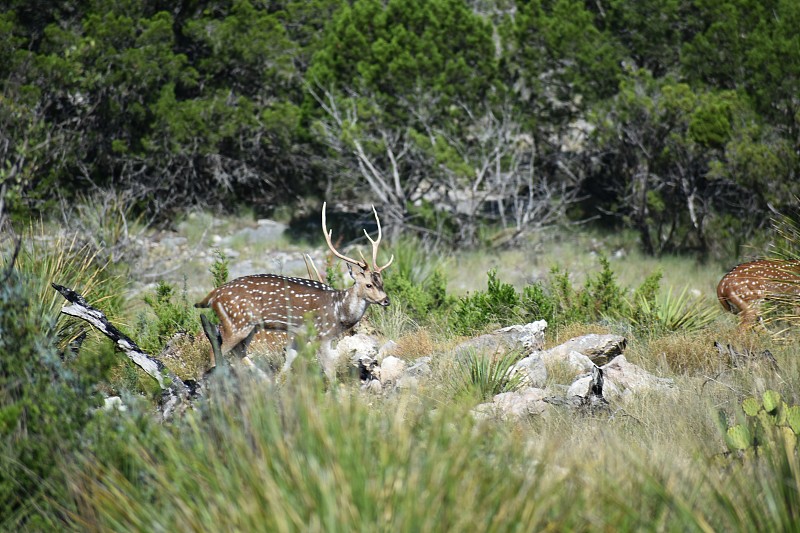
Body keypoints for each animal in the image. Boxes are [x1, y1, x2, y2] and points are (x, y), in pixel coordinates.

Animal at [195, 202, 392, 376]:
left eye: (382, 282)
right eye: (368, 284)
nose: (386, 300)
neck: (340, 311)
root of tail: (213, 295)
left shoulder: (299, 334)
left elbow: (289, 359)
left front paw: (280, 381)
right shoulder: (322, 334)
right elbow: (329, 370)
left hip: (251, 327)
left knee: (238, 352)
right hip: (236, 324)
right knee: (215, 351)